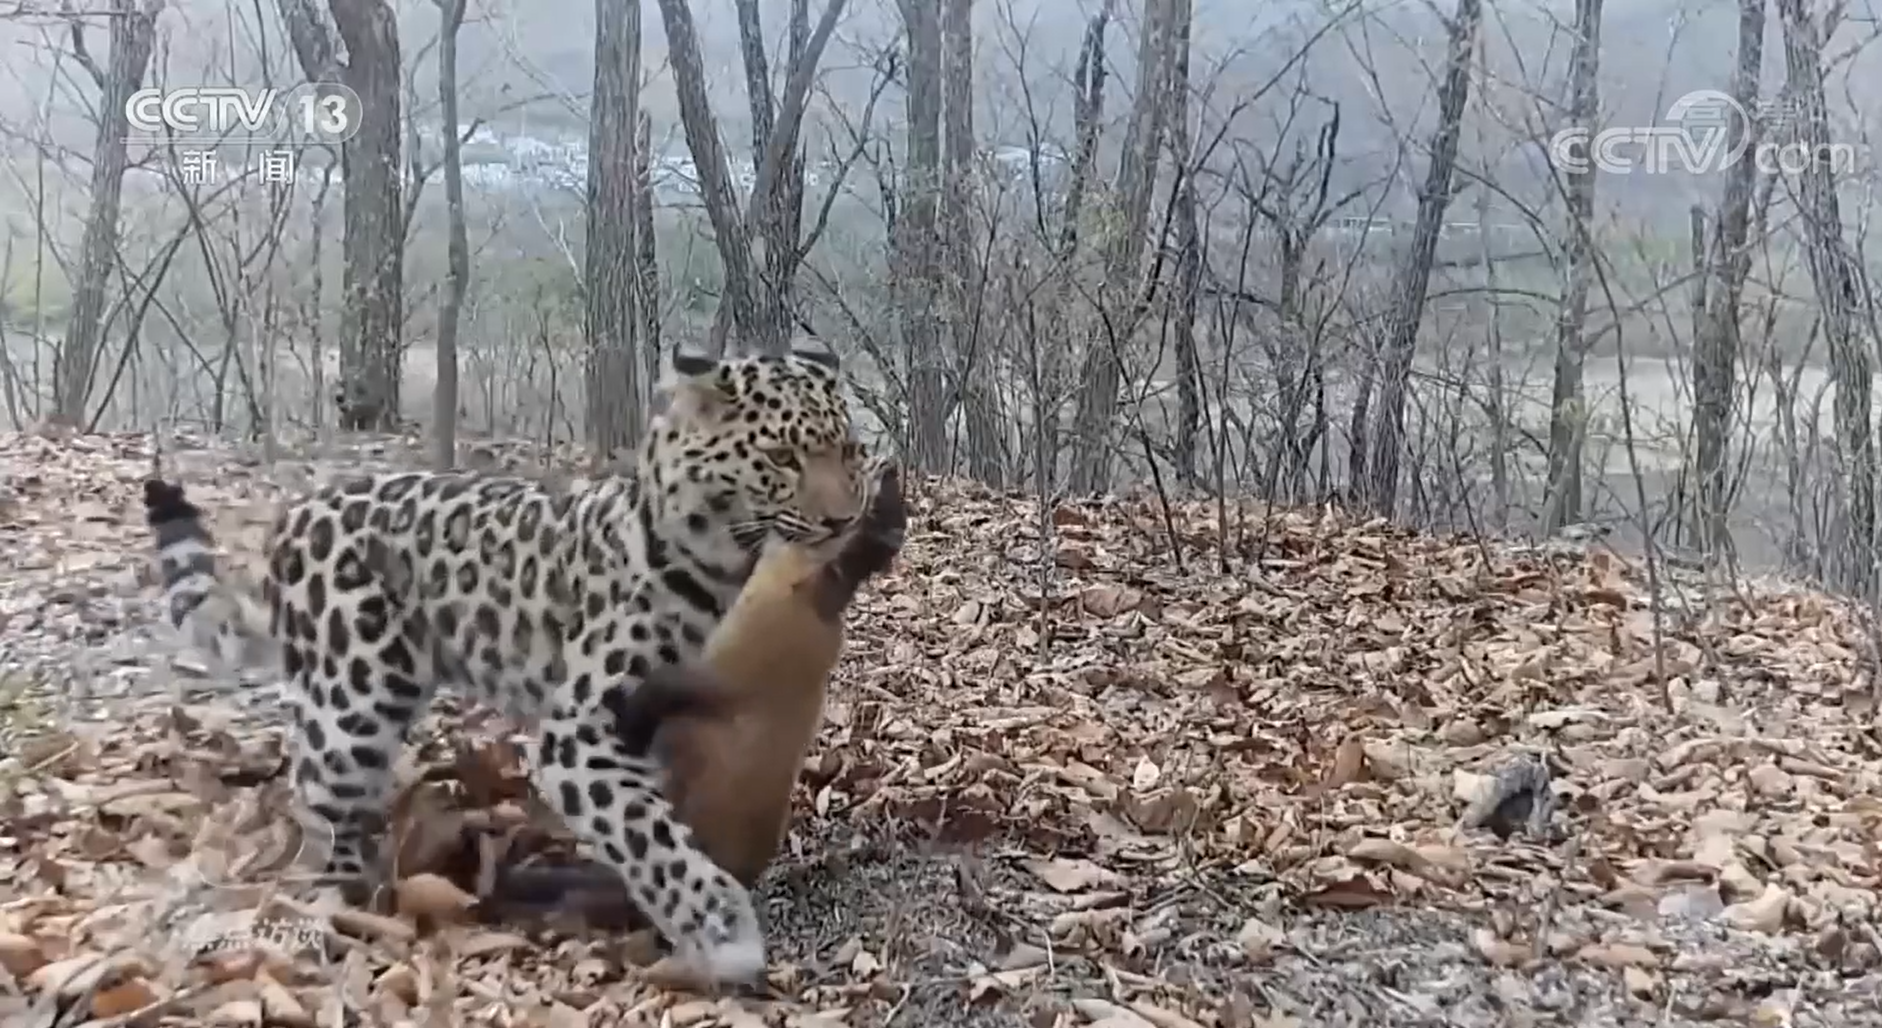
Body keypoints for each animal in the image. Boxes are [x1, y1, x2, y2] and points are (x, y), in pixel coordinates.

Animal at [140, 350, 882, 988]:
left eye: (850, 451)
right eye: (782, 457)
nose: (844, 520)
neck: (724, 564)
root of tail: (293, 515)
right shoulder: (580, 731)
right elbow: (650, 835)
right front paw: (724, 933)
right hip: (355, 700)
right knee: (317, 791)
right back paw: (347, 893)